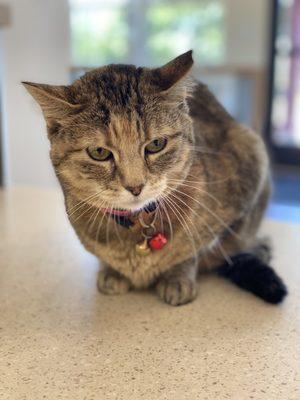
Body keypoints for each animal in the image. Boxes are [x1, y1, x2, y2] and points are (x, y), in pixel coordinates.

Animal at [22, 50, 288, 306]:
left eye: (156, 144)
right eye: (99, 152)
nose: (135, 186)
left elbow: (194, 251)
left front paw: (178, 277)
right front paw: (112, 272)